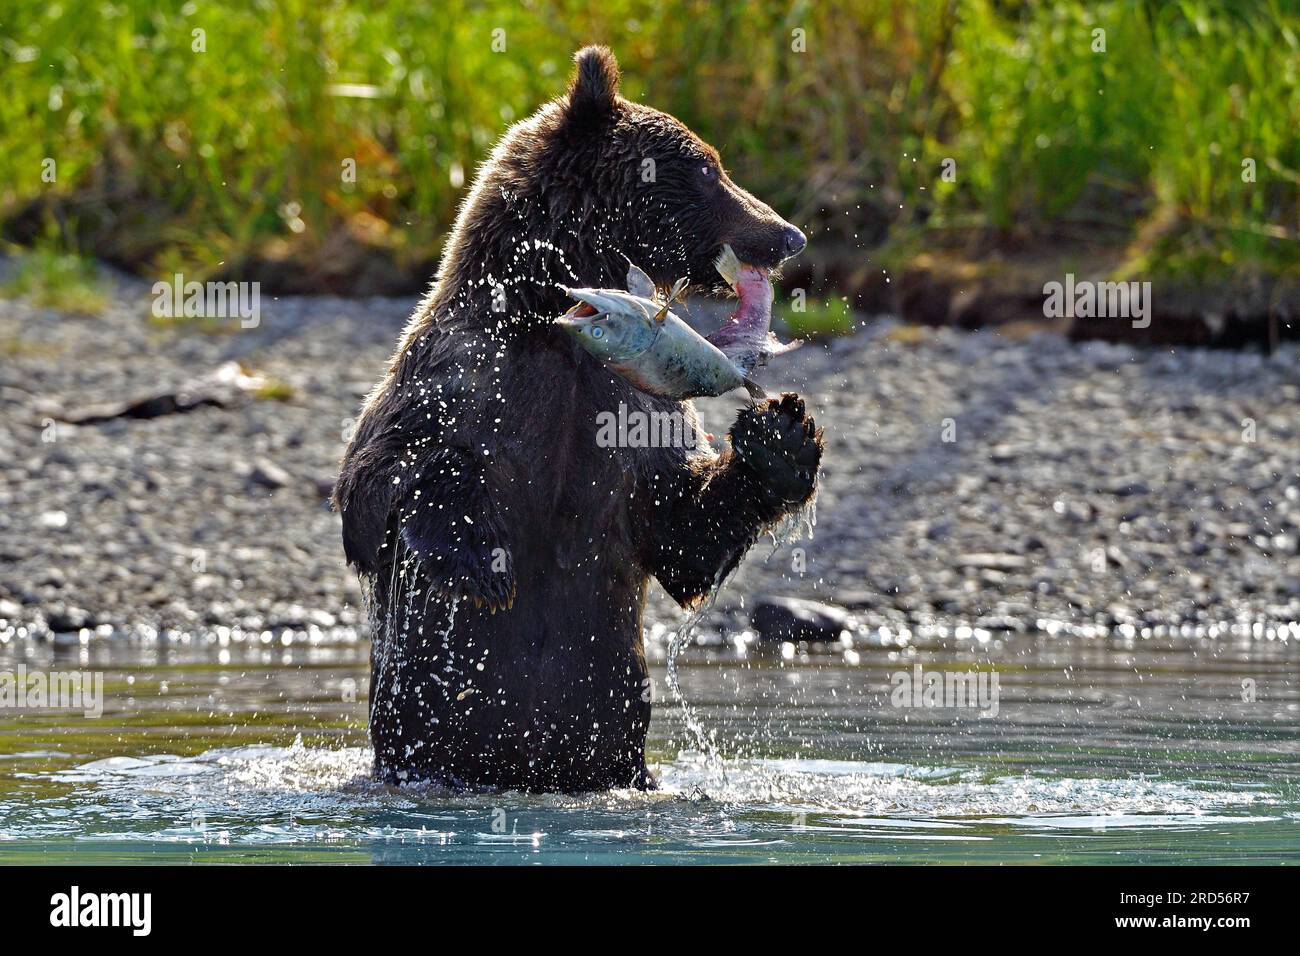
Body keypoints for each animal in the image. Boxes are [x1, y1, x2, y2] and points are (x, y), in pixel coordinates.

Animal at [334, 46, 823, 792]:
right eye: (709, 167)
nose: (787, 234)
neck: (554, 321)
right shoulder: (458, 372)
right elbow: (380, 480)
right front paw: (481, 563)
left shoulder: (634, 408)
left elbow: (682, 531)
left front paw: (782, 438)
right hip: (423, 739)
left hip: (614, 745)